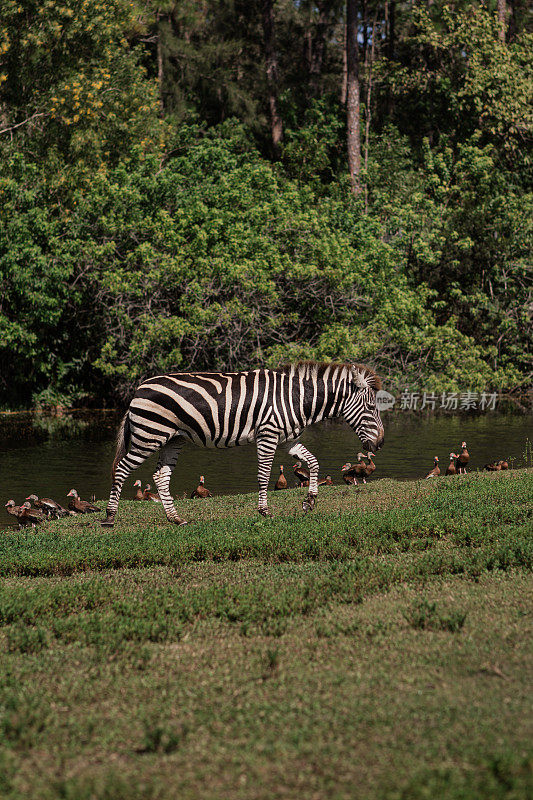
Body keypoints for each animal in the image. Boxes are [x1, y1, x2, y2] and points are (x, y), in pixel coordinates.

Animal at [101, 360, 382, 524]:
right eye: (371, 407)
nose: (379, 445)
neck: (295, 398)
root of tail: (138, 390)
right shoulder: (268, 434)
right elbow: (264, 475)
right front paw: (265, 512)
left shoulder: (287, 439)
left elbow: (313, 462)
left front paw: (310, 501)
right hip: (149, 436)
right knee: (122, 469)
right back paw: (110, 516)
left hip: (173, 439)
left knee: (160, 476)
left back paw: (176, 518)